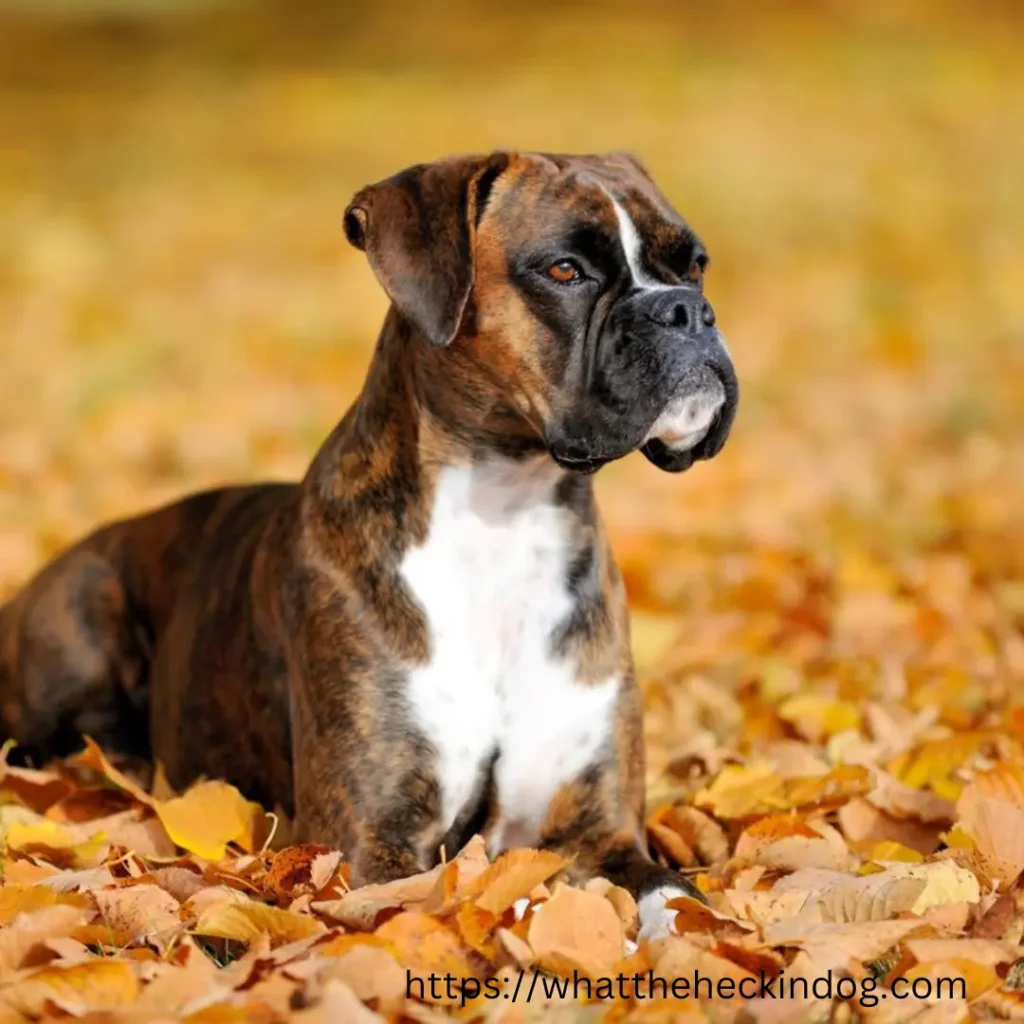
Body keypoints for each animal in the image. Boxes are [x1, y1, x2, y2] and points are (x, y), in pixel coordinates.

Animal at [0, 148, 737, 937]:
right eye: (565, 270)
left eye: (694, 264)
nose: (686, 310)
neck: (506, 512)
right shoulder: (365, 846)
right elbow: (485, 901)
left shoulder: (605, 836)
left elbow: (678, 907)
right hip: (85, 609)